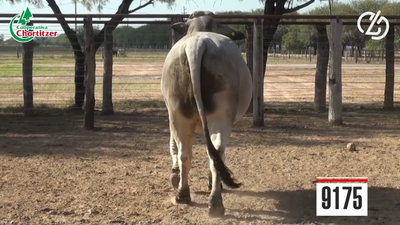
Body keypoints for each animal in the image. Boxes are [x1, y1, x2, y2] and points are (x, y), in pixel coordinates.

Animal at [161, 13, 252, 216]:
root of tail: (197, 44)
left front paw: (175, 175)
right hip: (220, 117)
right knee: (216, 152)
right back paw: (215, 199)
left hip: (179, 115)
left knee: (186, 153)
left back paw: (184, 194)